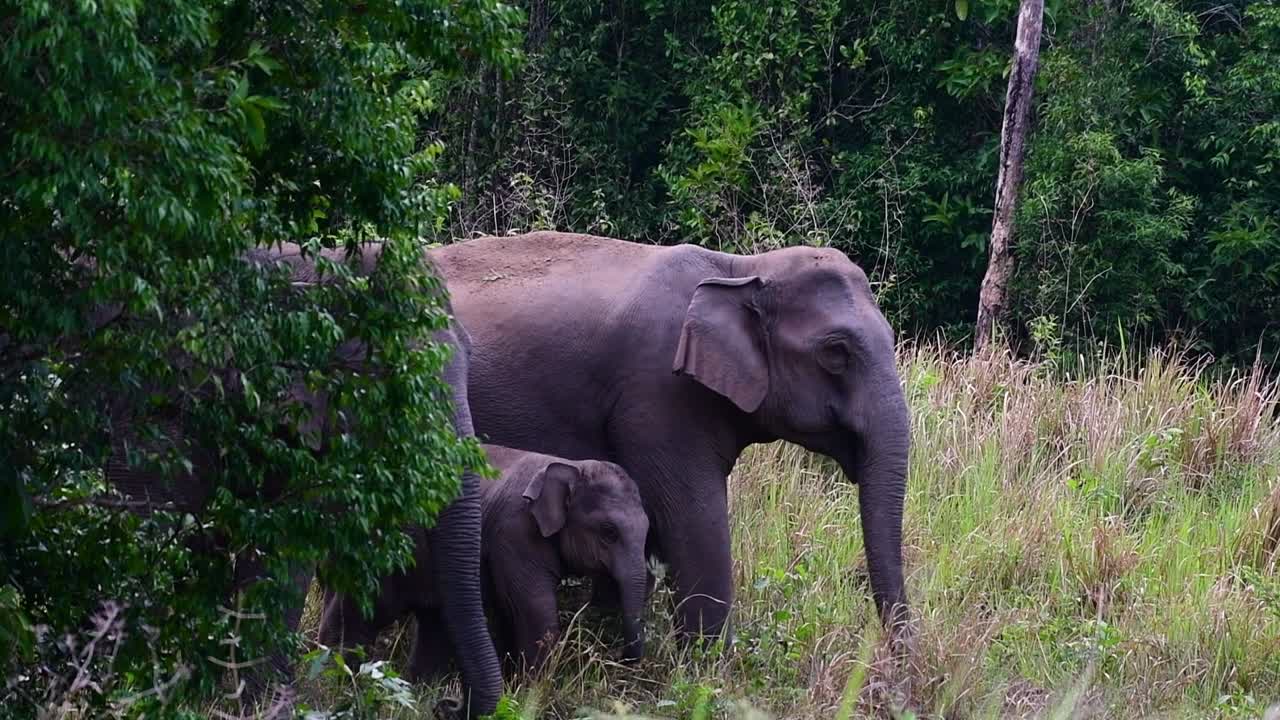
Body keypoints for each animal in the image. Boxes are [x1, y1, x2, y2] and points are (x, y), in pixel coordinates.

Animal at [99, 242, 503, 717]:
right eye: (390, 375)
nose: (447, 703)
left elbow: (281, 547)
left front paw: (257, 705)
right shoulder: (155, 395)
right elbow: (147, 529)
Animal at [318, 442, 650, 677]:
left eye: (648, 529)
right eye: (609, 532)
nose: (615, 657)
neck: (572, 465)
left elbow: (509, 610)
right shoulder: (515, 534)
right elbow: (534, 610)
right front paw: (530, 692)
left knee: (431, 624)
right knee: (371, 609)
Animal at [429, 231, 911, 644]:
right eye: (835, 353)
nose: (894, 664)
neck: (740, 268)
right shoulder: (658, 396)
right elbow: (693, 520)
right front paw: (708, 671)